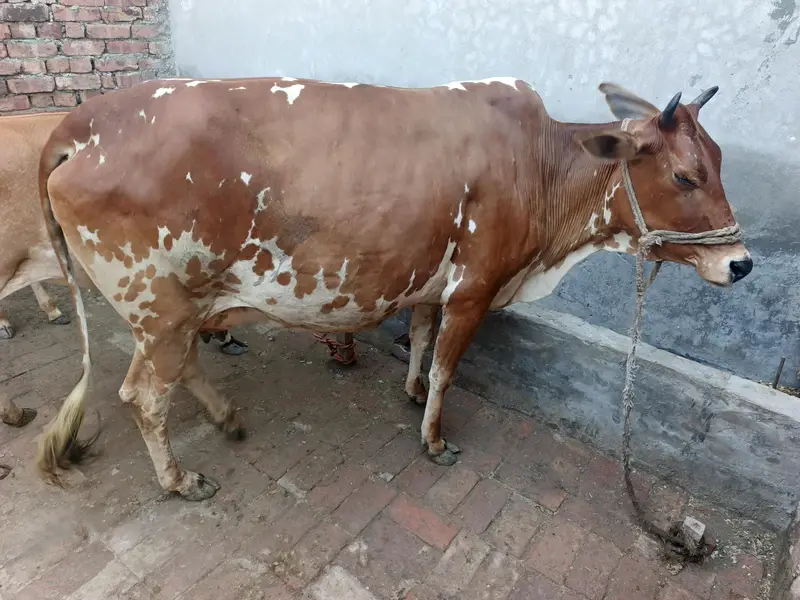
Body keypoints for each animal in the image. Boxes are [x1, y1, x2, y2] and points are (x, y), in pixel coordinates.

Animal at [34, 76, 751, 501]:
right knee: (143, 395)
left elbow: (422, 342)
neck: (541, 167)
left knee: (177, 371)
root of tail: (80, 125)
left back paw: (226, 417)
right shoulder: (475, 290)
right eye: (685, 176)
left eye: (717, 161)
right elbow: (446, 371)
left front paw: (409, 393)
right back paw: (180, 479)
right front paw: (433, 440)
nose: (741, 264)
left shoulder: (436, 286)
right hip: (158, 307)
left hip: (176, 308)